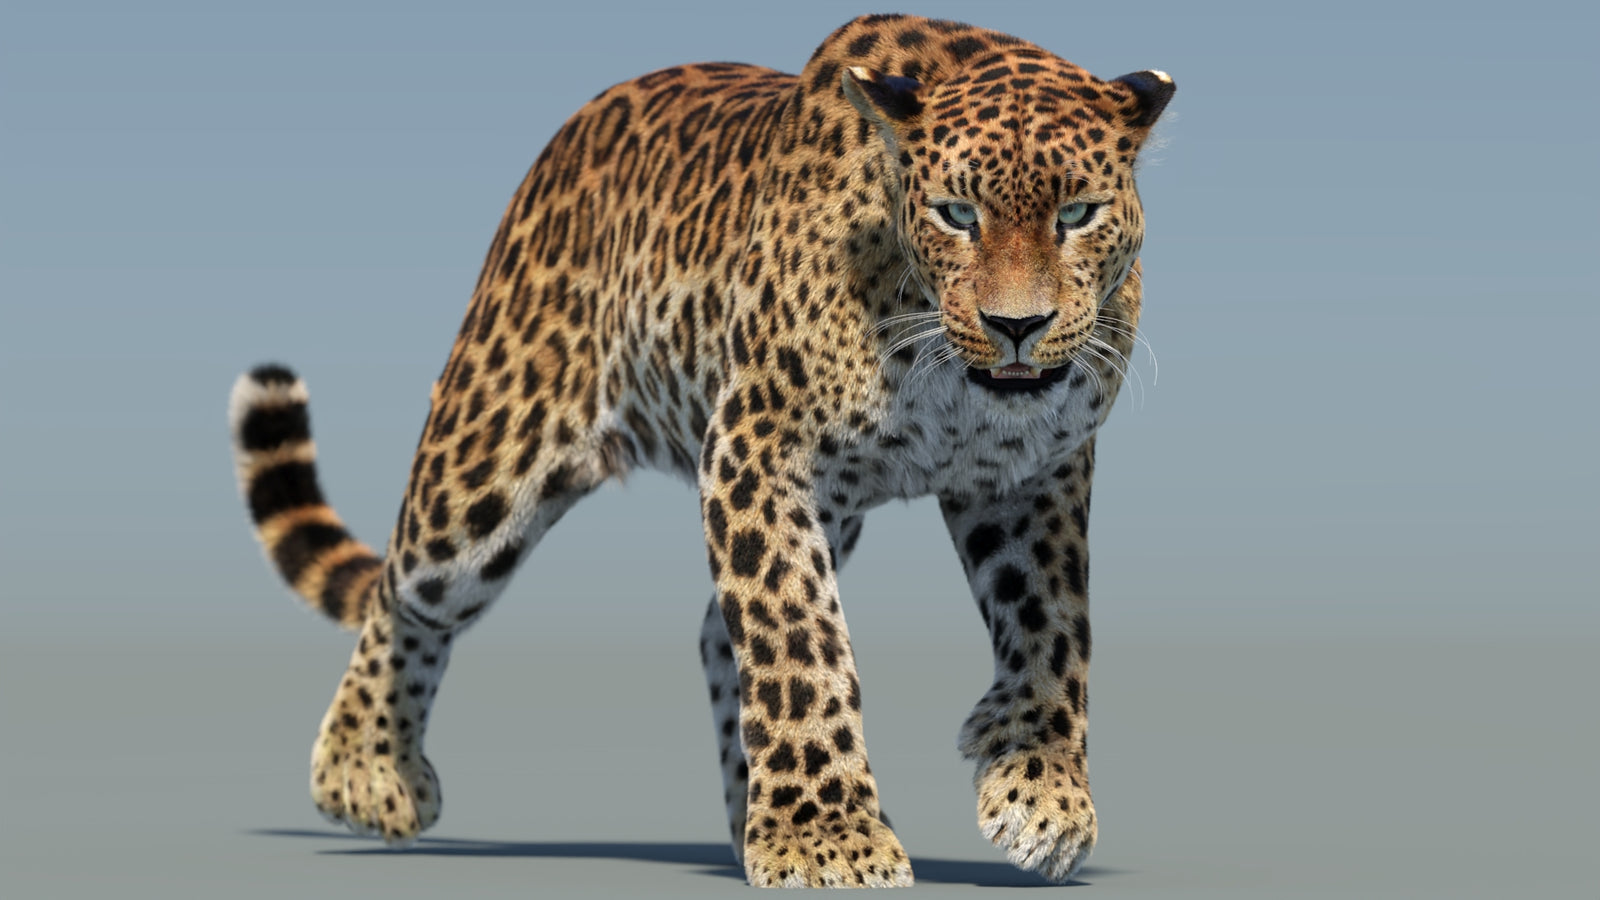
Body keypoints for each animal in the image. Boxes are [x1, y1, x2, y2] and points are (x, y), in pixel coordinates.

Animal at [228, 13, 1173, 888]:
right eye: (957, 215)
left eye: (1076, 215)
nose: (1018, 327)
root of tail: (568, 135)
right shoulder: (758, 445)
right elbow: (796, 635)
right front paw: (827, 839)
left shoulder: (1032, 472)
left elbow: (1052, 619)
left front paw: (1041, 789)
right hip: (487, 463)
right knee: (406, 588)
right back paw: (366, 771)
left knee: (716, 634)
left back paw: (745, 810)